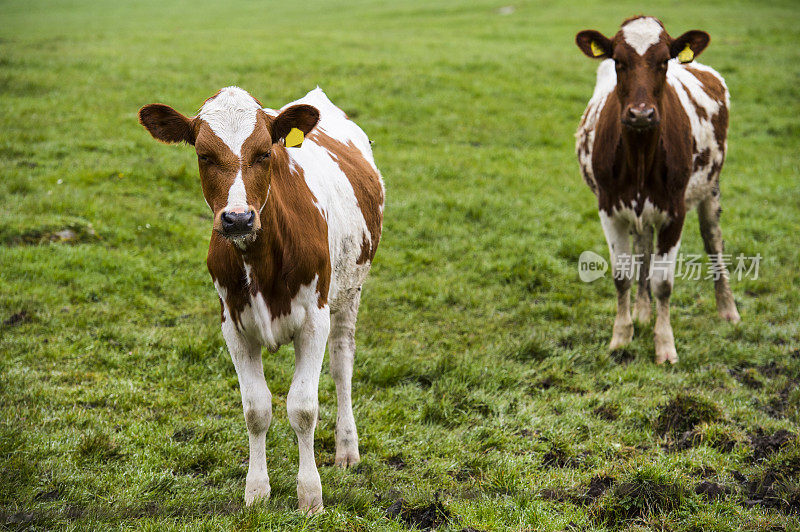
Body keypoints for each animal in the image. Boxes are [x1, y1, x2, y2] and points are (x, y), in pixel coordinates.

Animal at [140, 86, 384, 512]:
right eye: (203, 155)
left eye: (264, 153)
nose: (238, 218)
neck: (260, 257)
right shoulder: (233, 326)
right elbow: (256, 408)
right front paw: (256, 491)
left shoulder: (314, 320)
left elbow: (303, 407)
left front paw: (310, 496)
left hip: (350, 292)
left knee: (342, 366)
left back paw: (346, 448)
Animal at [576, 17, 736, 366]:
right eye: (618, 61)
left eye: (664, 61)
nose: (641, 114)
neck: (639, 157)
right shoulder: (609, 208)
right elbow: (622, 274)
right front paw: (621, 337)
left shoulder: (674, 211)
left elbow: (664, 284)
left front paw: (665, 346)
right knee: (643, 249)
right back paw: (641, 310)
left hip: (711, 187)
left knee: (713, 240)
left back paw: (727, 309)